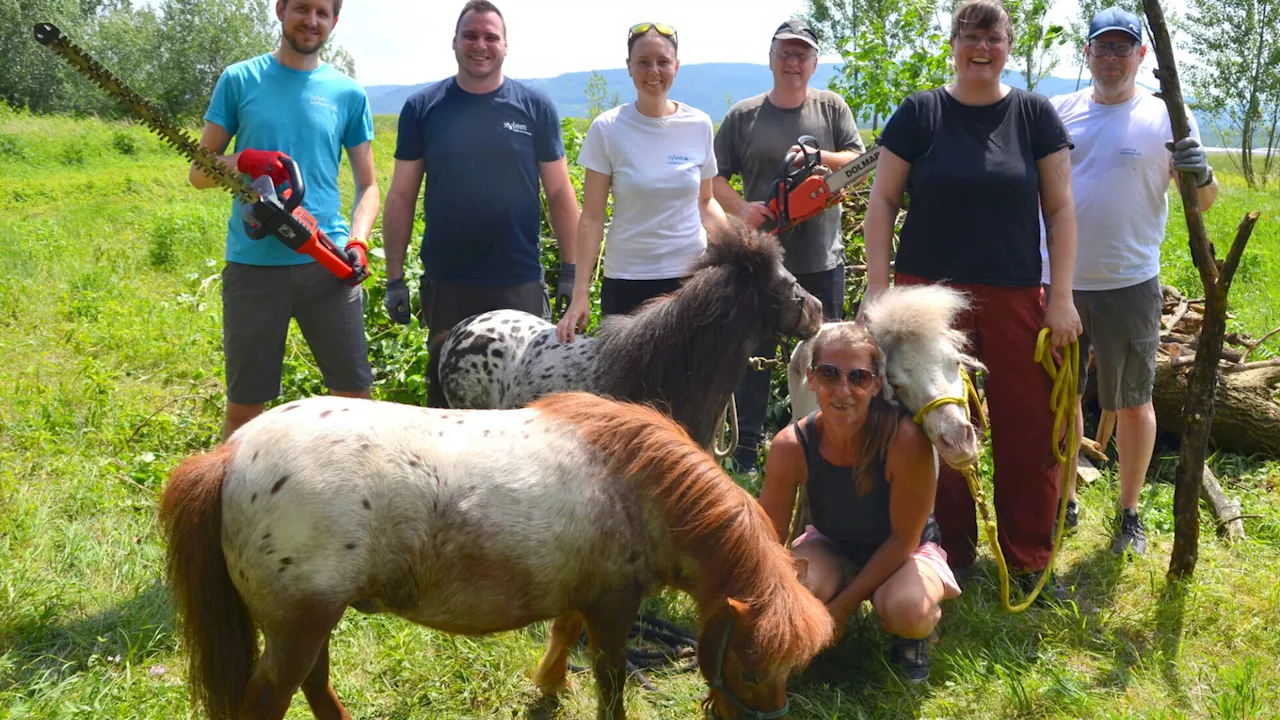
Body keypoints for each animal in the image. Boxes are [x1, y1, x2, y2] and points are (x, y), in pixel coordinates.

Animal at [157, 389, 829, 717]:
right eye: (749, 671)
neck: (640, 487)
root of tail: (231, 455)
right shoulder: (614, 603)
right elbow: (611, 680)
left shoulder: (582, 593)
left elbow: (561, 634)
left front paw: (550, 687)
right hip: (300, 623)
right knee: (274, 698)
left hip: (310, 620)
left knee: (316, 687)